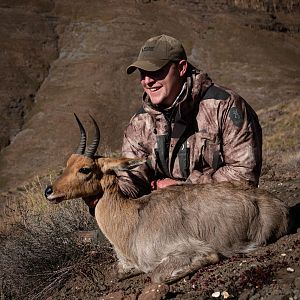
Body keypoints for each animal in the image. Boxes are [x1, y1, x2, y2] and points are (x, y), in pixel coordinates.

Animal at [44, 115, 288, 284]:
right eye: (68, 163)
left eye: (85, 169)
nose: (49, 191)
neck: (133, 219)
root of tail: (279, 205)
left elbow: (158, 274)